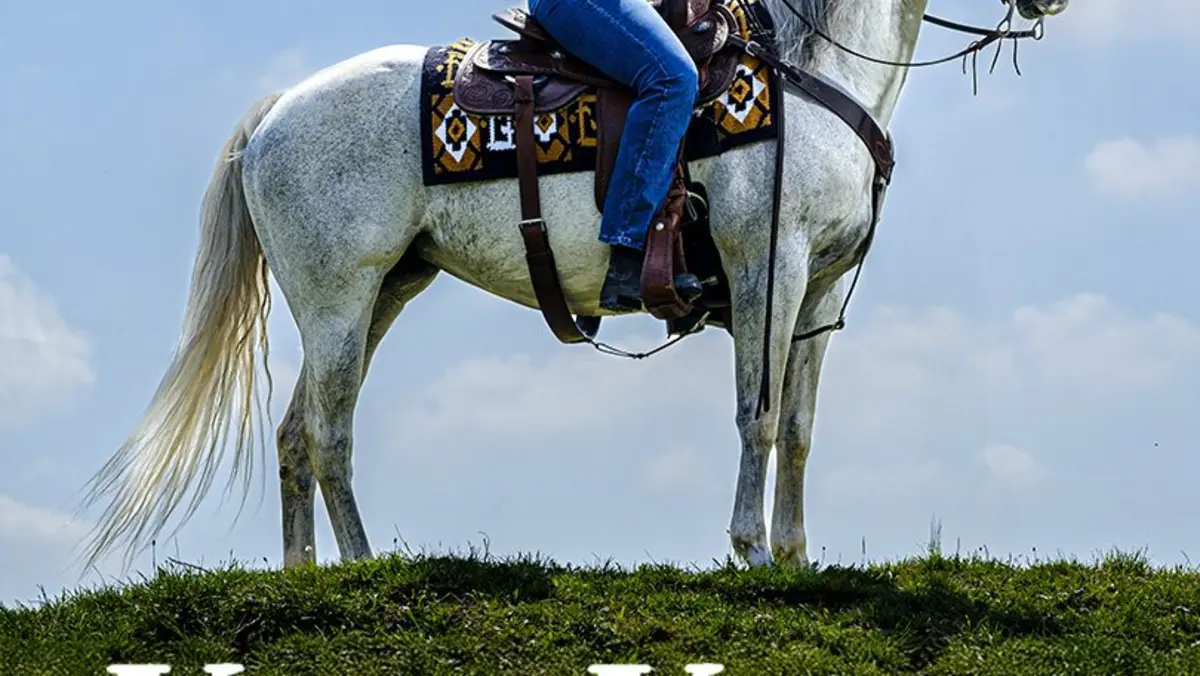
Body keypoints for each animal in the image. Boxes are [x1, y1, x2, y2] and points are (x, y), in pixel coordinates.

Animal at [77, 0, 1070, 572]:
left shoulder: (819, 289)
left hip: (384, 291)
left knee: (294, 433)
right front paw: (750, 552)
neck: (810, 70)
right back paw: (360, 569)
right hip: (337, 299)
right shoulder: (769, 264)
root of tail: (274, 112)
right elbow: (754, 415)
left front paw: (793, 558)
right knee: (327, 436)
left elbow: (797, 427)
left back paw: (306, 578)